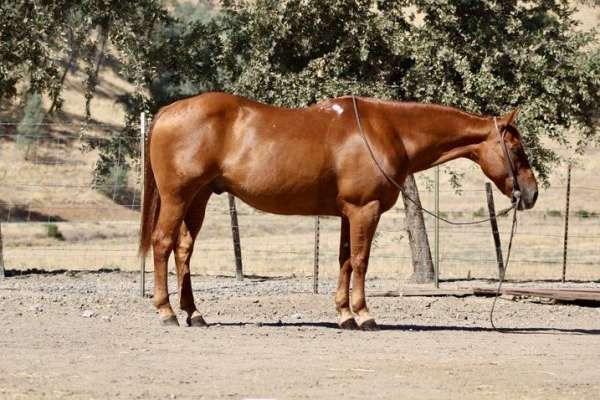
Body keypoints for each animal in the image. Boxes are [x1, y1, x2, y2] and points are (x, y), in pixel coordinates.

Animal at [139, 92, 540, 330]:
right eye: (516, 149)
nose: (531, 193)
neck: (388, 131)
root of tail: (166, 112)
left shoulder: (350, 213)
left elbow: (345, 260)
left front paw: (345, 314)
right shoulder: (365, 210)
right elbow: (361, 261)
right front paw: (364, 315)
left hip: (199, 199)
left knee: (183, 250)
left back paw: (194, 313)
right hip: (177, 198)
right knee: (162, 244)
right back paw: (167, 311)